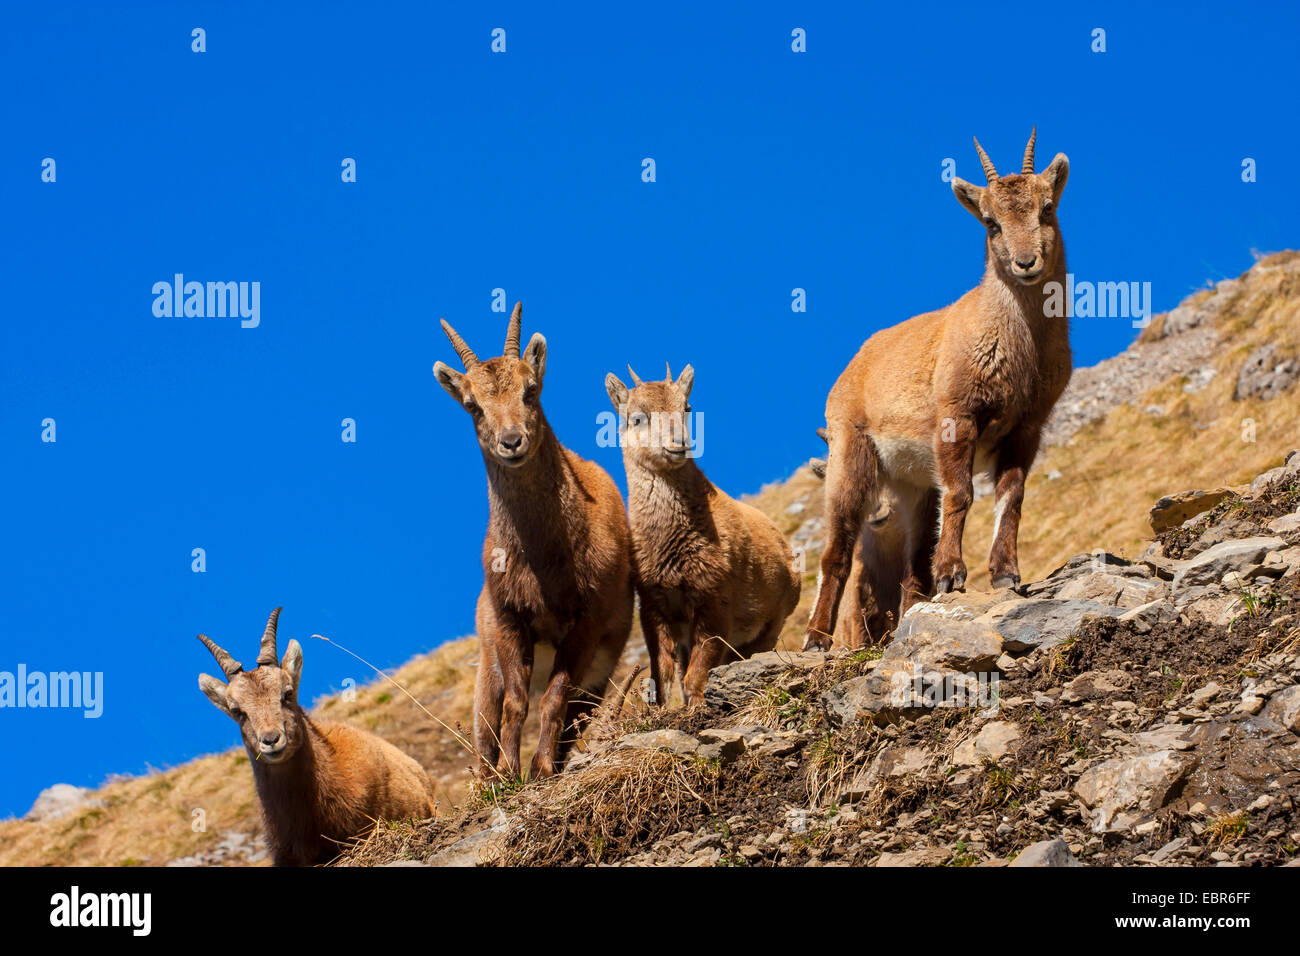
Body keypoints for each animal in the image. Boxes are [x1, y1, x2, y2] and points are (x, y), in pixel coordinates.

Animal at [433, 303, 634, 779]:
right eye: (473, 406)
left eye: (530, 390)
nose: (512, 442)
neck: (544, 555)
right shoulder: (509, 618)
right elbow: (515, 705)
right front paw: (510, 772)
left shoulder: (585, 621)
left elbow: (554, 699)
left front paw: (539, 769)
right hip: (486, 666)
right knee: (485, 729)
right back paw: (489, 781)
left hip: (599, 671)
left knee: (572, 718)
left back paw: (552, 764)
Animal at [606, 364, 800, 704]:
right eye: (638, 417)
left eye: (686, 407)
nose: (678, 444)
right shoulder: (653, 604)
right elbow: (663, 672)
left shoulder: (714, 600)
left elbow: (697, 673)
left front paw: (697, 708)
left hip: (770, 624)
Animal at [805, 129, 1071, 650]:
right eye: (991, 222)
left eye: (1047, 207)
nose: (1026, 262)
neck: (1020, 346)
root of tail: (853, 366)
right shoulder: (957, 415)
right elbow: (962, 493)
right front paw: (952, 574)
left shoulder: (1027, 427)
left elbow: (1012, 496)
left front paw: (1006, 574)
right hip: (851, 451)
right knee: (837, 548)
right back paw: (816, 637)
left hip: (911, 484)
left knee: (911, 564)